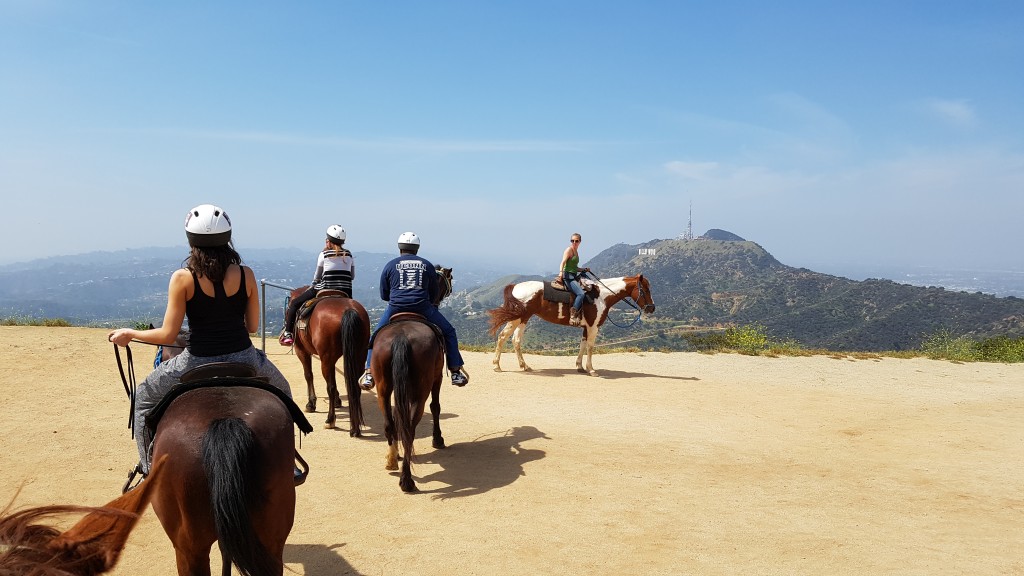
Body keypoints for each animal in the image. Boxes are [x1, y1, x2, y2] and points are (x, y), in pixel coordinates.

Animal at [286, 286, 370, 434]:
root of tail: (348, 310)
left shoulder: (302, 351)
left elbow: (308, 375)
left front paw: (311, 404)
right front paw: (337, 401)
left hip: (326, 358)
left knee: (330, 386)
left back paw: (330, 420)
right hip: (359, 354)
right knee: (354, 385)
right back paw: (355, 427)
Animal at [370, 315, 446, 491]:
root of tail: (401, 337)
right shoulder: (437, 377)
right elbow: (435, 407)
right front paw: (437, 439)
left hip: (382, 389)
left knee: (390, 424)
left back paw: (392, 460)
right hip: (420, 394)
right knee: (409, 431)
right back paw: (406, 480)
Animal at [487, 272, 655, 375]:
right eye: (645, 290)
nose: (651, 308)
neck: (602, 296)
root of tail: (515, 286)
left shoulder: (586, 328)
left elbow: (582, 345)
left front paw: (580, 366)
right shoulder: (593, 327)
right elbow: (590, 347)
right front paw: (591, 369)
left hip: (523, 319)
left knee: (515, 340)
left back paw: (524, 366)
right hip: (518, 318)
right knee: (504, 337)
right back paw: (496, 366)